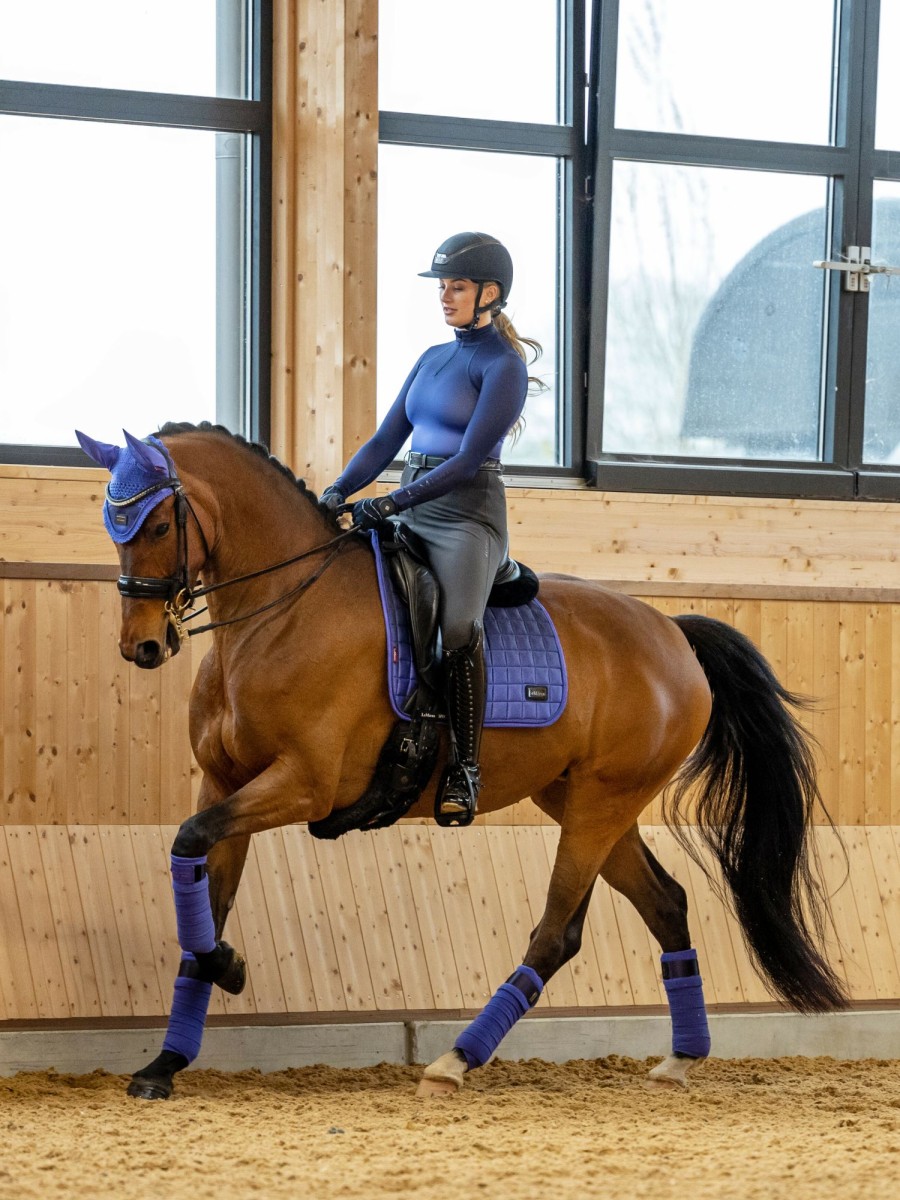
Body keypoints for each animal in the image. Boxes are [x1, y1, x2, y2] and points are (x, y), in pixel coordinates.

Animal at [75, 420, 844, 1099]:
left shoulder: (303, 785)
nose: (142, 647)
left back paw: (455, 1062)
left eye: (158, 526)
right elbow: (200, 886)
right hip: (587, 802)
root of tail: (674, 634)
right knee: (666, 903)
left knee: (556, 934)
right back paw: (681, 1059)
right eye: (114, 527)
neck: (280, 613)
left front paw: (226, 970)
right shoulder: (224, 784)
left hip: (600, 804)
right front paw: (170, 1055)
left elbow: (191, 848)